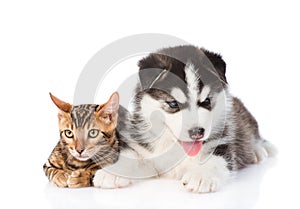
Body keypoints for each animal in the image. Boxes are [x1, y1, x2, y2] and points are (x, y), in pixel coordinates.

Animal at [43, 45, 276, 193]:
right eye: (173, 104)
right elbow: (133, 158)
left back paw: (259, 150)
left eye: (207, 101)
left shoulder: (223, 144)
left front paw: (201, 175)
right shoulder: (147, 153)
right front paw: (113, 173)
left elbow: (218, 160)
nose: (197, 132)